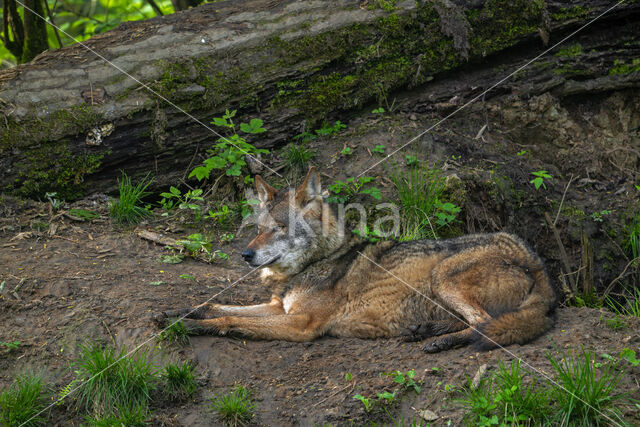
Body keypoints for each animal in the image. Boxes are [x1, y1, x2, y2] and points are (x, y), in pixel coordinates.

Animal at [158, 166, 556, 352]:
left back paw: (439, 341)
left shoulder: (299, 325)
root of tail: (538, 264)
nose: (245, 254)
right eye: (257, 229)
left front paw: (191, 327)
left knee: (486, 325)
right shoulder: (277, 307)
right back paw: (424, 330)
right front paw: (178, 313)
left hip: (444, 275)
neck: (315, 264)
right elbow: (216, 306)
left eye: (279, 228)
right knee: (480, 322)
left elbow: (230, 320)